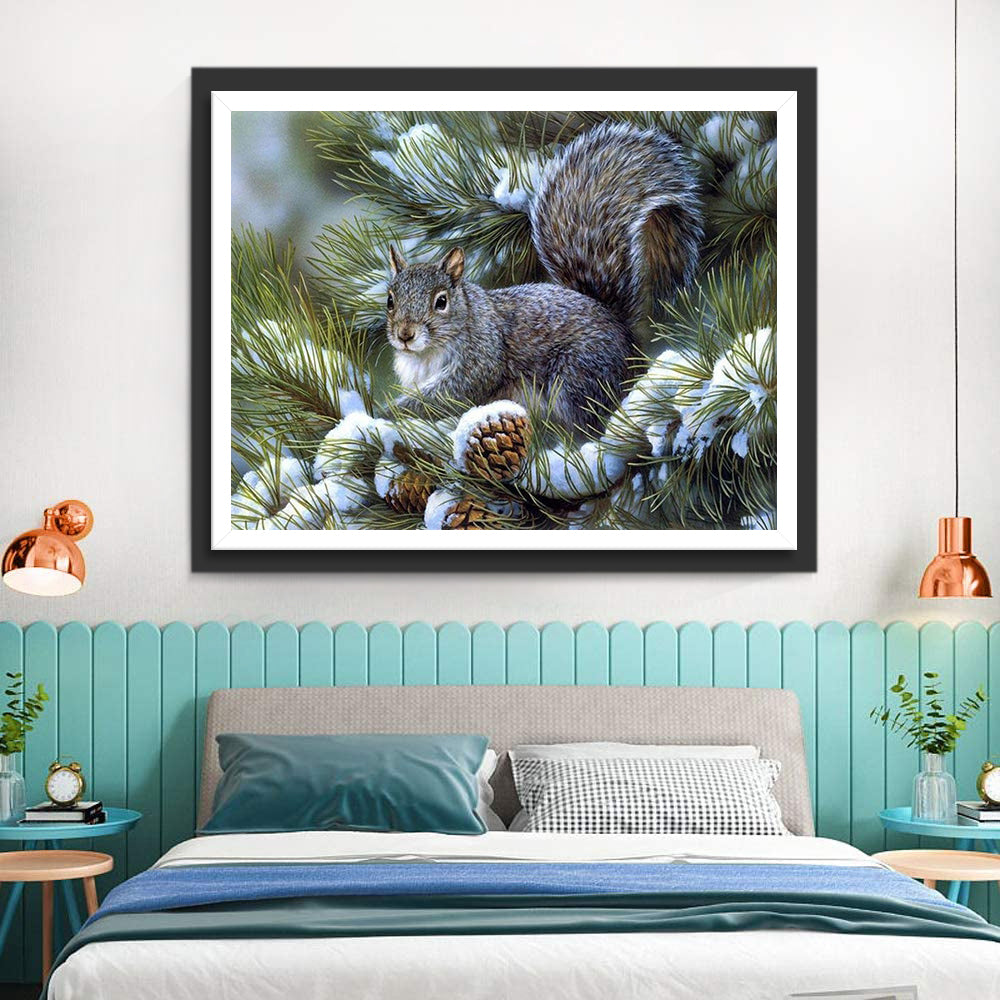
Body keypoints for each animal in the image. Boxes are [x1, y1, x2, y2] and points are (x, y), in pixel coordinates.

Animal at [384, 121, 703, 436]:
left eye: (441, 302)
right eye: (390, 300)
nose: (405, 335)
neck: (426, 354)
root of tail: (624, 335)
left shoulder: (481, 357)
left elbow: (451, 393)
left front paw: (393, 411)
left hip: (579, 374)